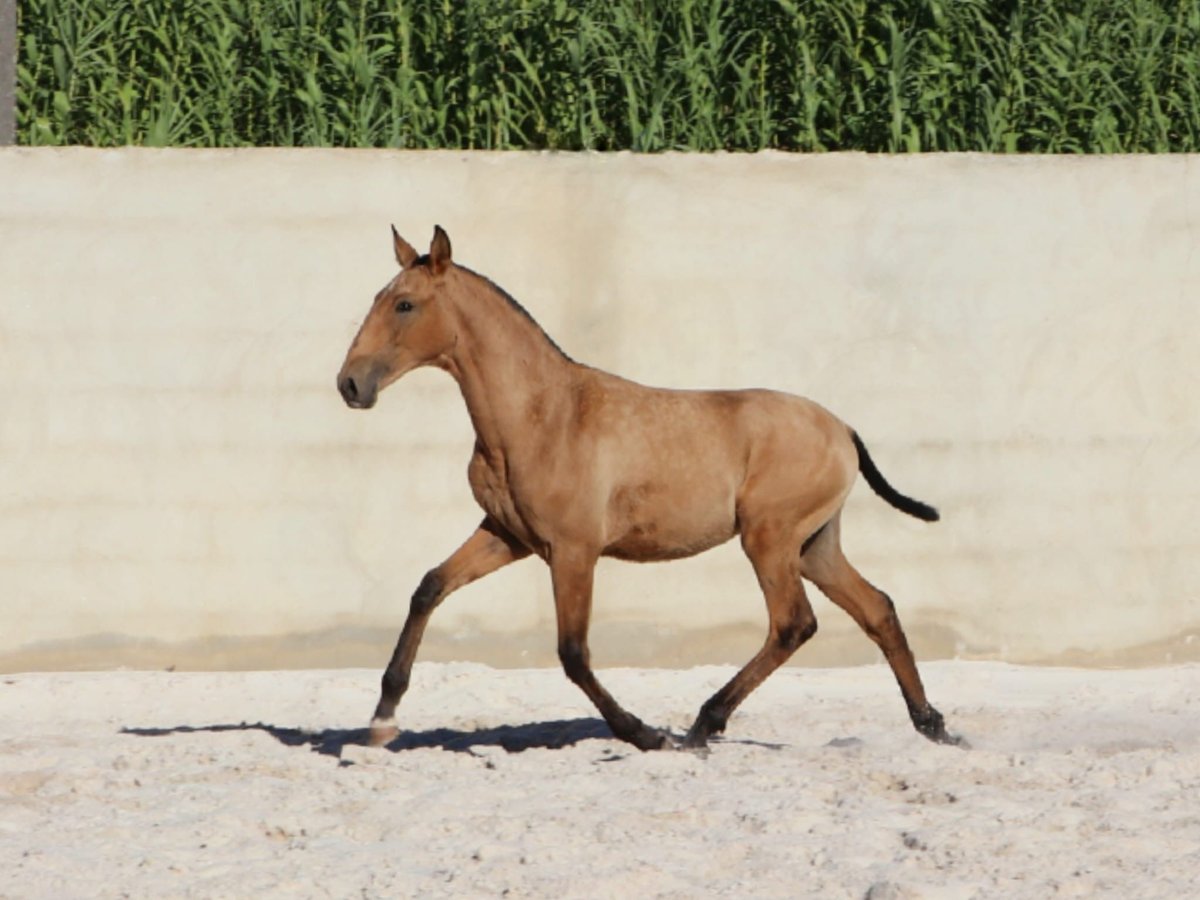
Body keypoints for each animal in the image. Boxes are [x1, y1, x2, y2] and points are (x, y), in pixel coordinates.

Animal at [338, 226, 955, 753]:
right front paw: (381, 720)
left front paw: (643, 734)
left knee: (792, 623)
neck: (541, 415)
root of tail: (843, 428)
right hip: (813, 545)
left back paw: (703, 725)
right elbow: (429, 588)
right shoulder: (508, 536)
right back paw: (934, 726)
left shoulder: (574, 550)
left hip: (770, 539)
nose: (350, 384)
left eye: (404, 304)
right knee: (877, 609)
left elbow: (573, 653)